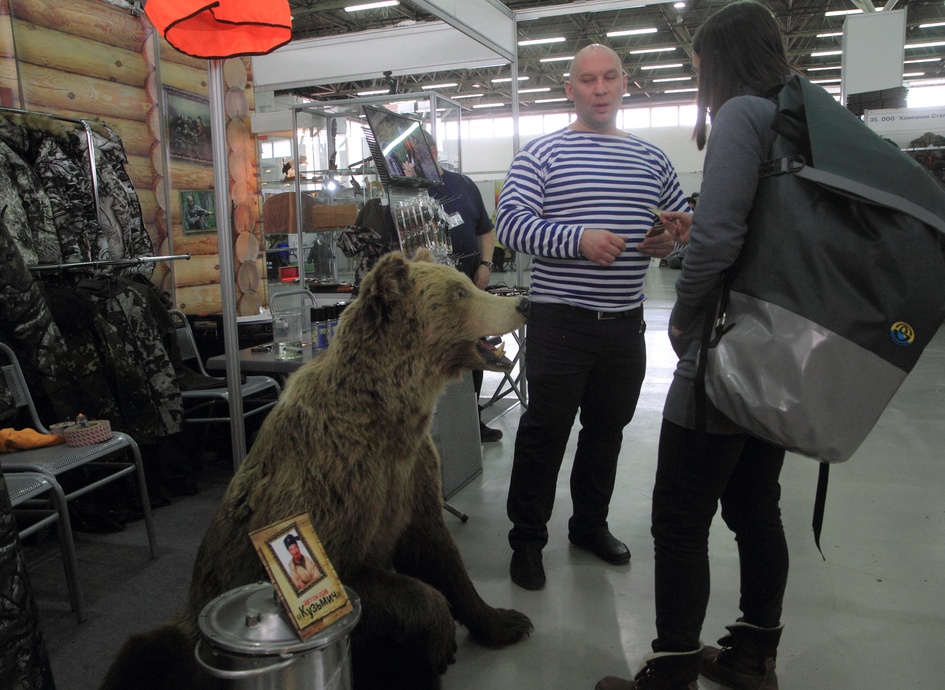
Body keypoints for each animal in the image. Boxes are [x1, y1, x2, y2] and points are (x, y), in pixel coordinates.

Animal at [99, 250, 532, 690]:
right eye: (460, 292)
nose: (522, 303)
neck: (389, 418)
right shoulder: (330, 482)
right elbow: (371, 585)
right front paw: (439, 642)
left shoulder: (410, 473)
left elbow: (439, 554)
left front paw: (507, 621)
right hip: (186, 631)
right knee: (145, 654)